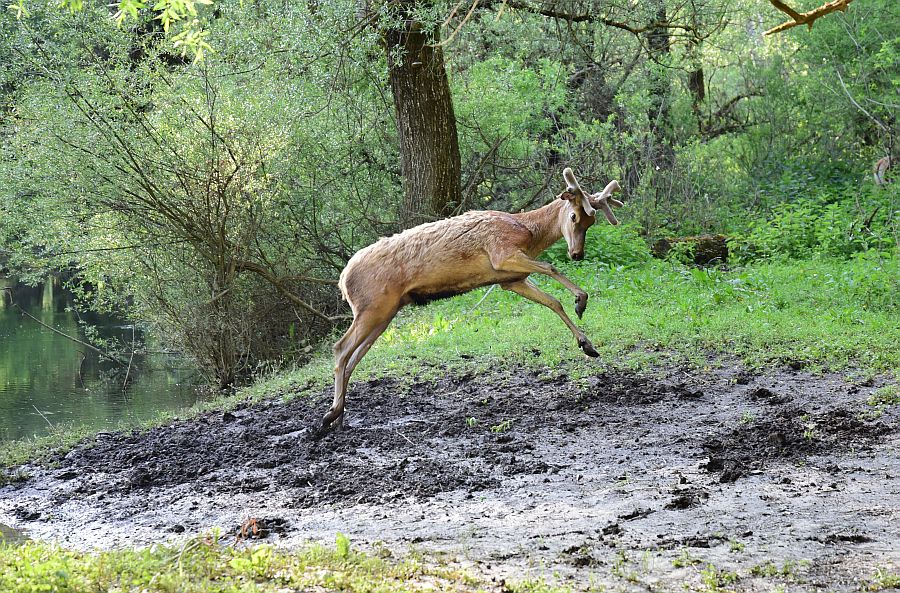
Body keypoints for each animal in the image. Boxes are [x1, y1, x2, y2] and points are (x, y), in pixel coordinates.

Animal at [326, 169, 624, 428]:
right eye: (574, 216)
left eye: (591, 221)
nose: (577, 254)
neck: (528, 233)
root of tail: (342, 280)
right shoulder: (501, 253)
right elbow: (551, 268)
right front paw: (581, 300)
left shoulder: (510, 280)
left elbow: (553, 301)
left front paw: (587, 343)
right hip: (372, 306)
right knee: (340, 349)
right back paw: (332, 413)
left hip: (385, 312)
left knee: (354, 358)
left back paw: (339, 417)